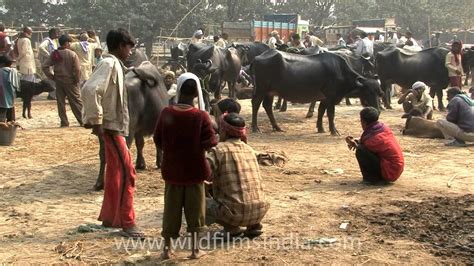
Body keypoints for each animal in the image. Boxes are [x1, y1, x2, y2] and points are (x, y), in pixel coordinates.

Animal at [93, 61, 168, 190]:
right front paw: (158, 162)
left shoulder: (138, 130)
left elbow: (140, 144)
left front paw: (140, 163)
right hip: (127, 131)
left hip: (103, 133)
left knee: (103, 153)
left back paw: (100, 183)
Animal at [252, 50, 382, 135]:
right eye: (369, 92)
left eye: (379, 93)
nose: (377, 109)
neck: (341, 72)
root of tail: (257, 57)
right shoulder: (330, 97)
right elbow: (330, 114)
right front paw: (334, 131)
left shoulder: (324, 99)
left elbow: (320, 112)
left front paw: (320, 128)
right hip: (261, 89)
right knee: (256, 104)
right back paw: (255, 128)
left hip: (270, 92)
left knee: (267, 106)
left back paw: (277, 127)